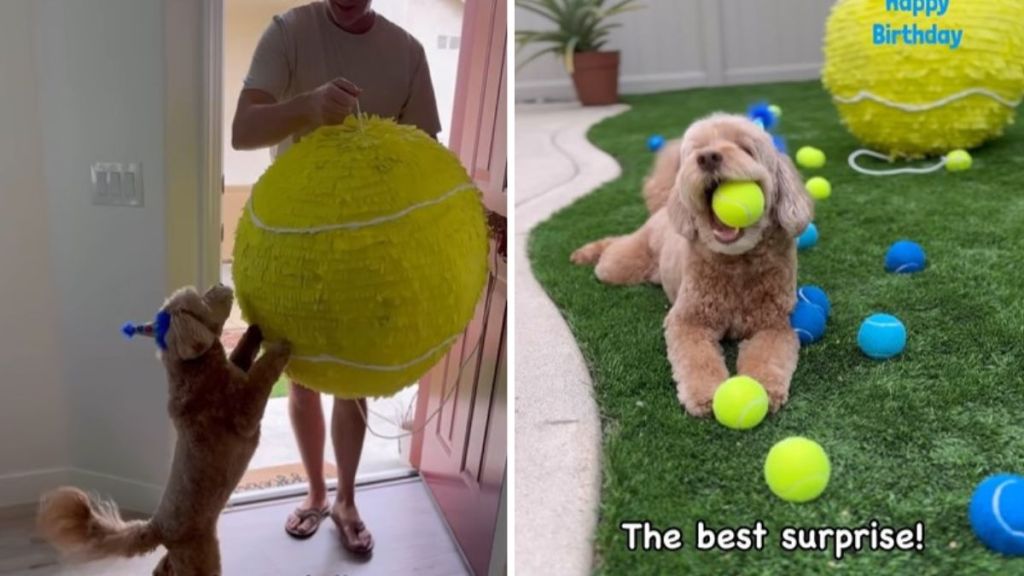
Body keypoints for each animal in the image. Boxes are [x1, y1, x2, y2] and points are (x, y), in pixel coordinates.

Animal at [36, 282, 292, 573]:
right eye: (202, 298)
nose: (220, 284)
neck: (196, 370)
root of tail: (157, 526)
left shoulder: (233, 370)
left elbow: (242, 354)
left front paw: (253, 332)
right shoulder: (244, 412)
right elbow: (262, 373)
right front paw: (279, 349)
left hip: (181, 555)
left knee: (164, 567)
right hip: (200, 555)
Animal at [573, 113, 811, 416]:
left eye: (746, 149)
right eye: (698, 150)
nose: (707, 157)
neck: (737, 264)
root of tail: (664, 207)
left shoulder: (774, 325)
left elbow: (767, 356)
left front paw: (763, 388)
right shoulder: (688, 320)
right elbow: (697, 359)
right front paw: (705, 394)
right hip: (619, 266)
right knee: (614, 246)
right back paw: (586, 253)